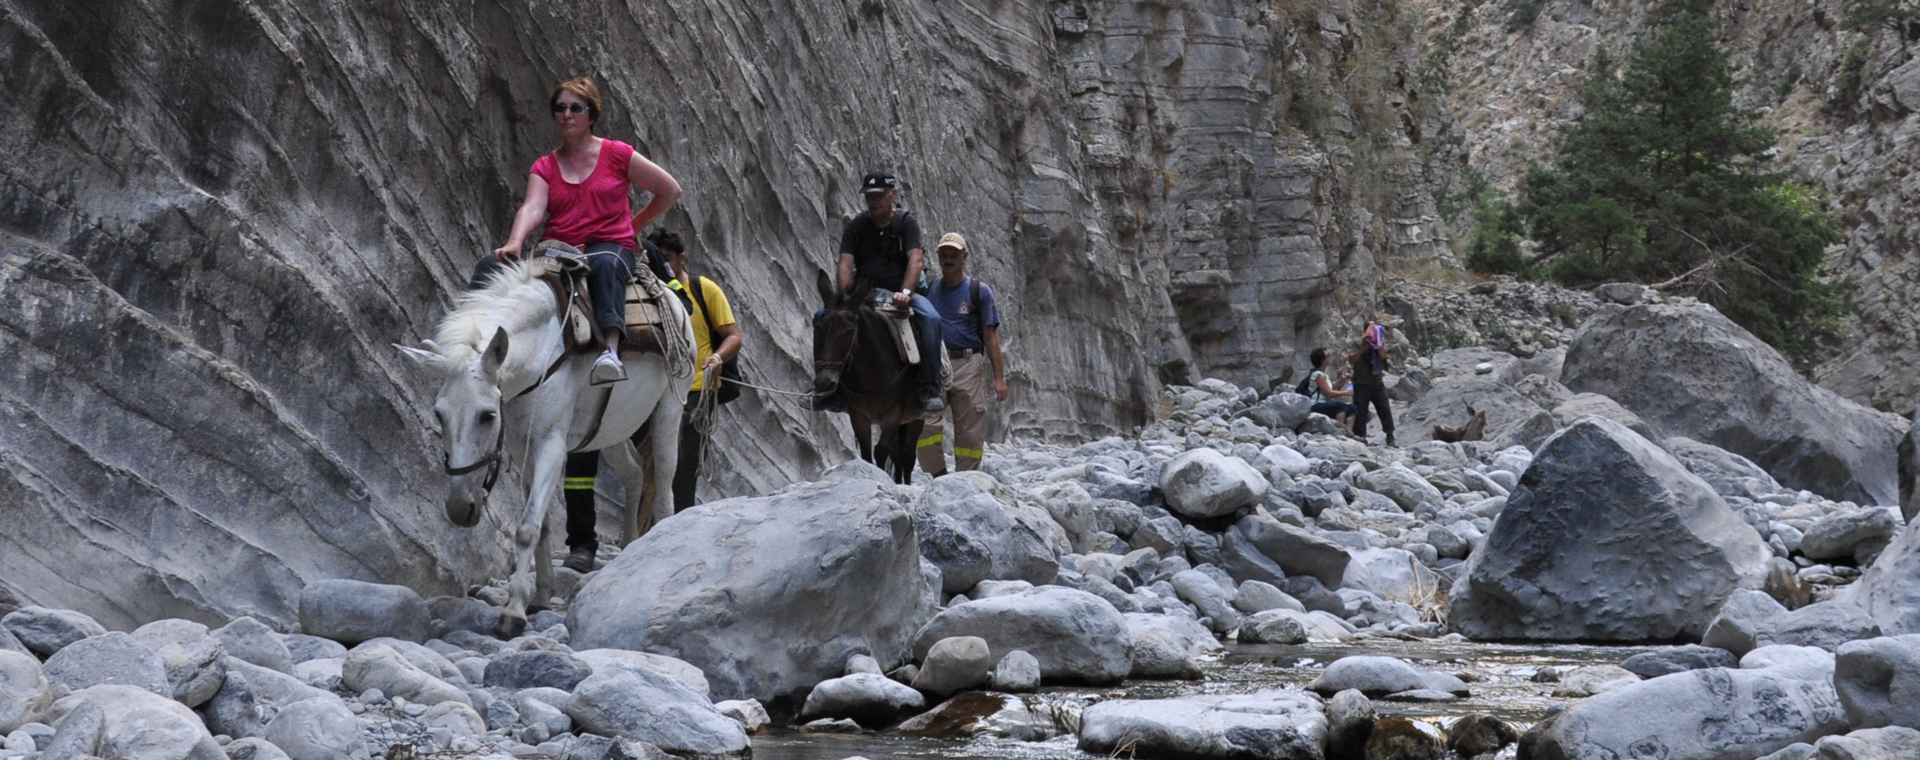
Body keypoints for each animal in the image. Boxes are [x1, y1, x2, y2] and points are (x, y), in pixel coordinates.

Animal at [397, 259, 691, 637]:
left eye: (487, 415)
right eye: (439, 414)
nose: (460, 508)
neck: (543, 351)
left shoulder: (550, 444)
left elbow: (527, 527)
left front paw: (513, 613)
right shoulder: (522, 446)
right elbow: (544, 524)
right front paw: (541, 595)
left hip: (669, 407)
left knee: (665, 482)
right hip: (612, 427)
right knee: (634, 471)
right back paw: (628, 548)